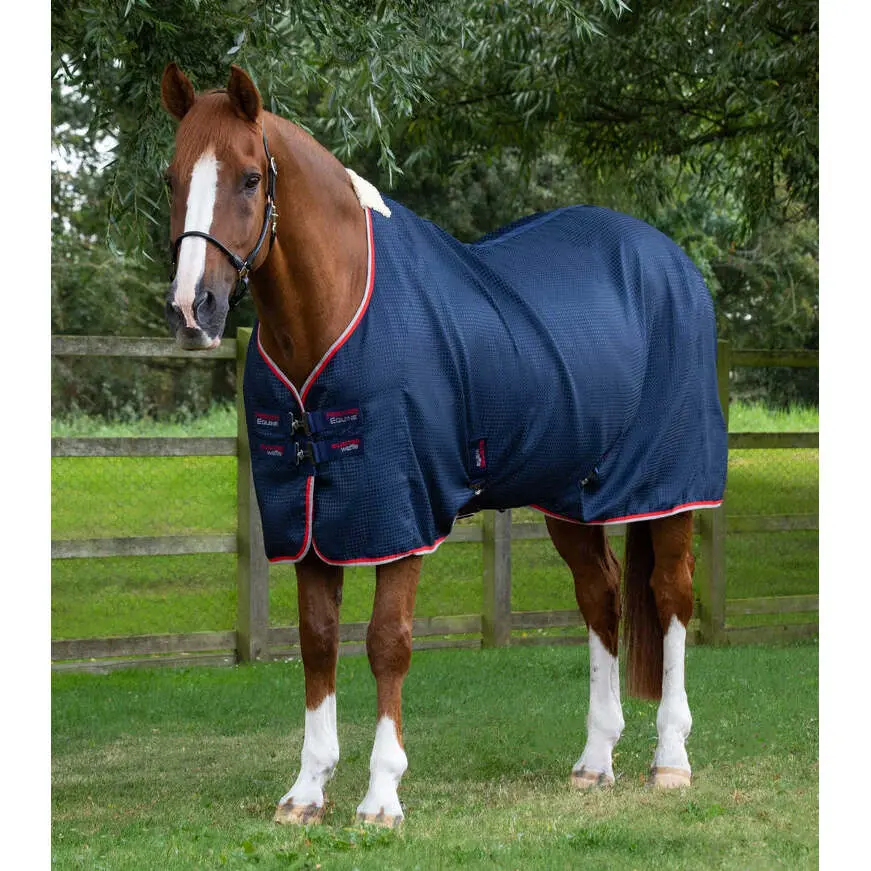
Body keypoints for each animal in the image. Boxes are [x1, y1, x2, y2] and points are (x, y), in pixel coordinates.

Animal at [160, 63, 727, 827]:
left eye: (250, 178)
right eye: (171, 177)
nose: (193, 310)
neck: (341, 301)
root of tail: (672, 263)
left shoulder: (399, 512)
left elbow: (386, 642)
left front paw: (380, 796)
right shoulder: (310, 518)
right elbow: (316, 641)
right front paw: (306, 790)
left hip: (668, 488)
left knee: (669, 597)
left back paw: (669, 759)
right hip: (570, 495)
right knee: (600, 596)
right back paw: (594, 760)